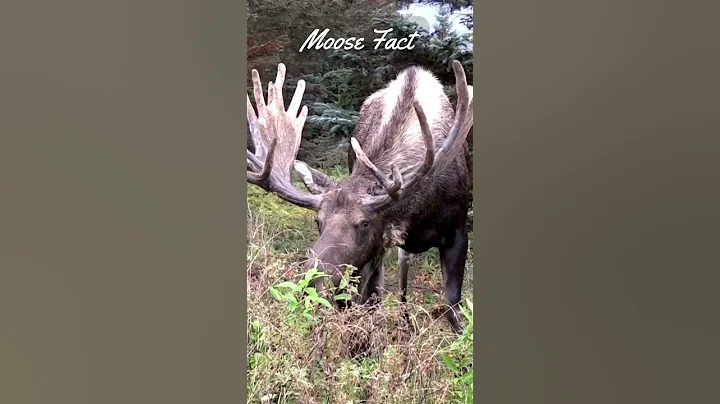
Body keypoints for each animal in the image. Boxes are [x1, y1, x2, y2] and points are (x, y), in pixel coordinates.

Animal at [246, 60, 473, 334]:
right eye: (318, 221)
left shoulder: (458, 228)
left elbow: (452, 305)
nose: (312, 281)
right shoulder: (374, 250)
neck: (418, 210)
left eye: (364, 223)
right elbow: (367, 303)